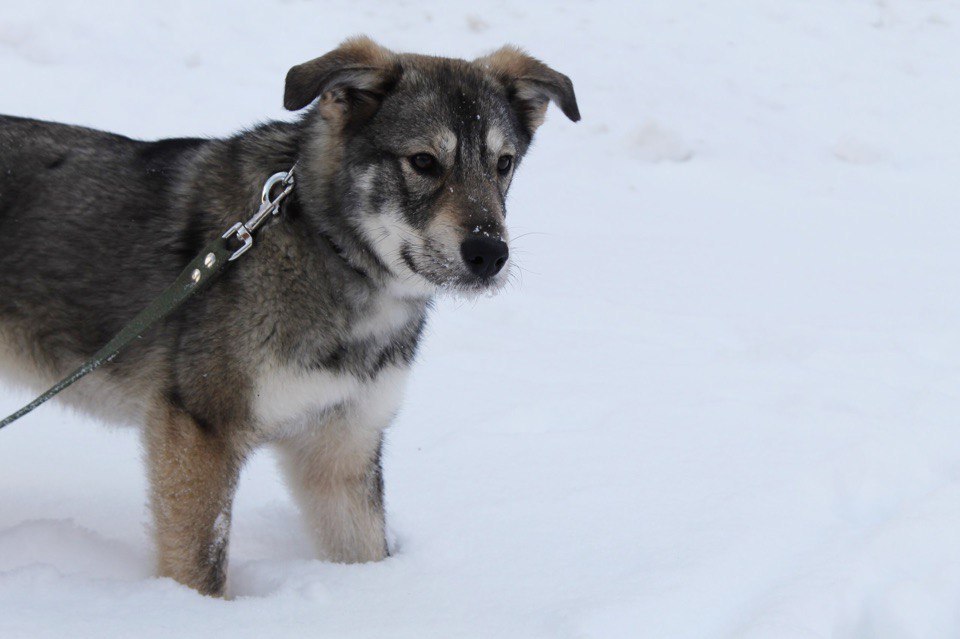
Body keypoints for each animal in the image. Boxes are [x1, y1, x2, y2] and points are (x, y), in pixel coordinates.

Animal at [0, 36, 576, 596]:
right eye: (423, 162)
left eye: (503, 164)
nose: (489, 254)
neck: (325, 247)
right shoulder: (200, 431)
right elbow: (201, 569)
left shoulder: (342, 447)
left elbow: (366, 551)